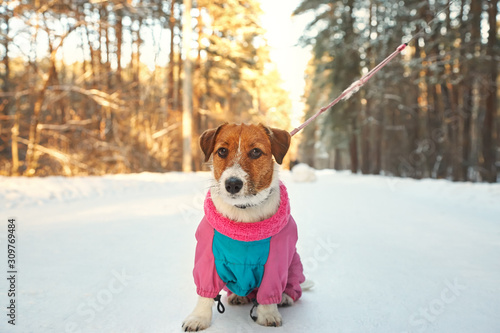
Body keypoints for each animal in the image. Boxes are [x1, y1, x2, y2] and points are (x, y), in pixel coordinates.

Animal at [182, 124, 302, 330]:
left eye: (256, 152)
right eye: (222, 151)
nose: (232, 184)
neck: (244, 213)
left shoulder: (275, 262)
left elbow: (269, 293)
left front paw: (268, 314)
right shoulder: (208, 258)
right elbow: (205, 294)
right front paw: (198, 318)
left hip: (294, 264)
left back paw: (285, 297)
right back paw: (238, 296)